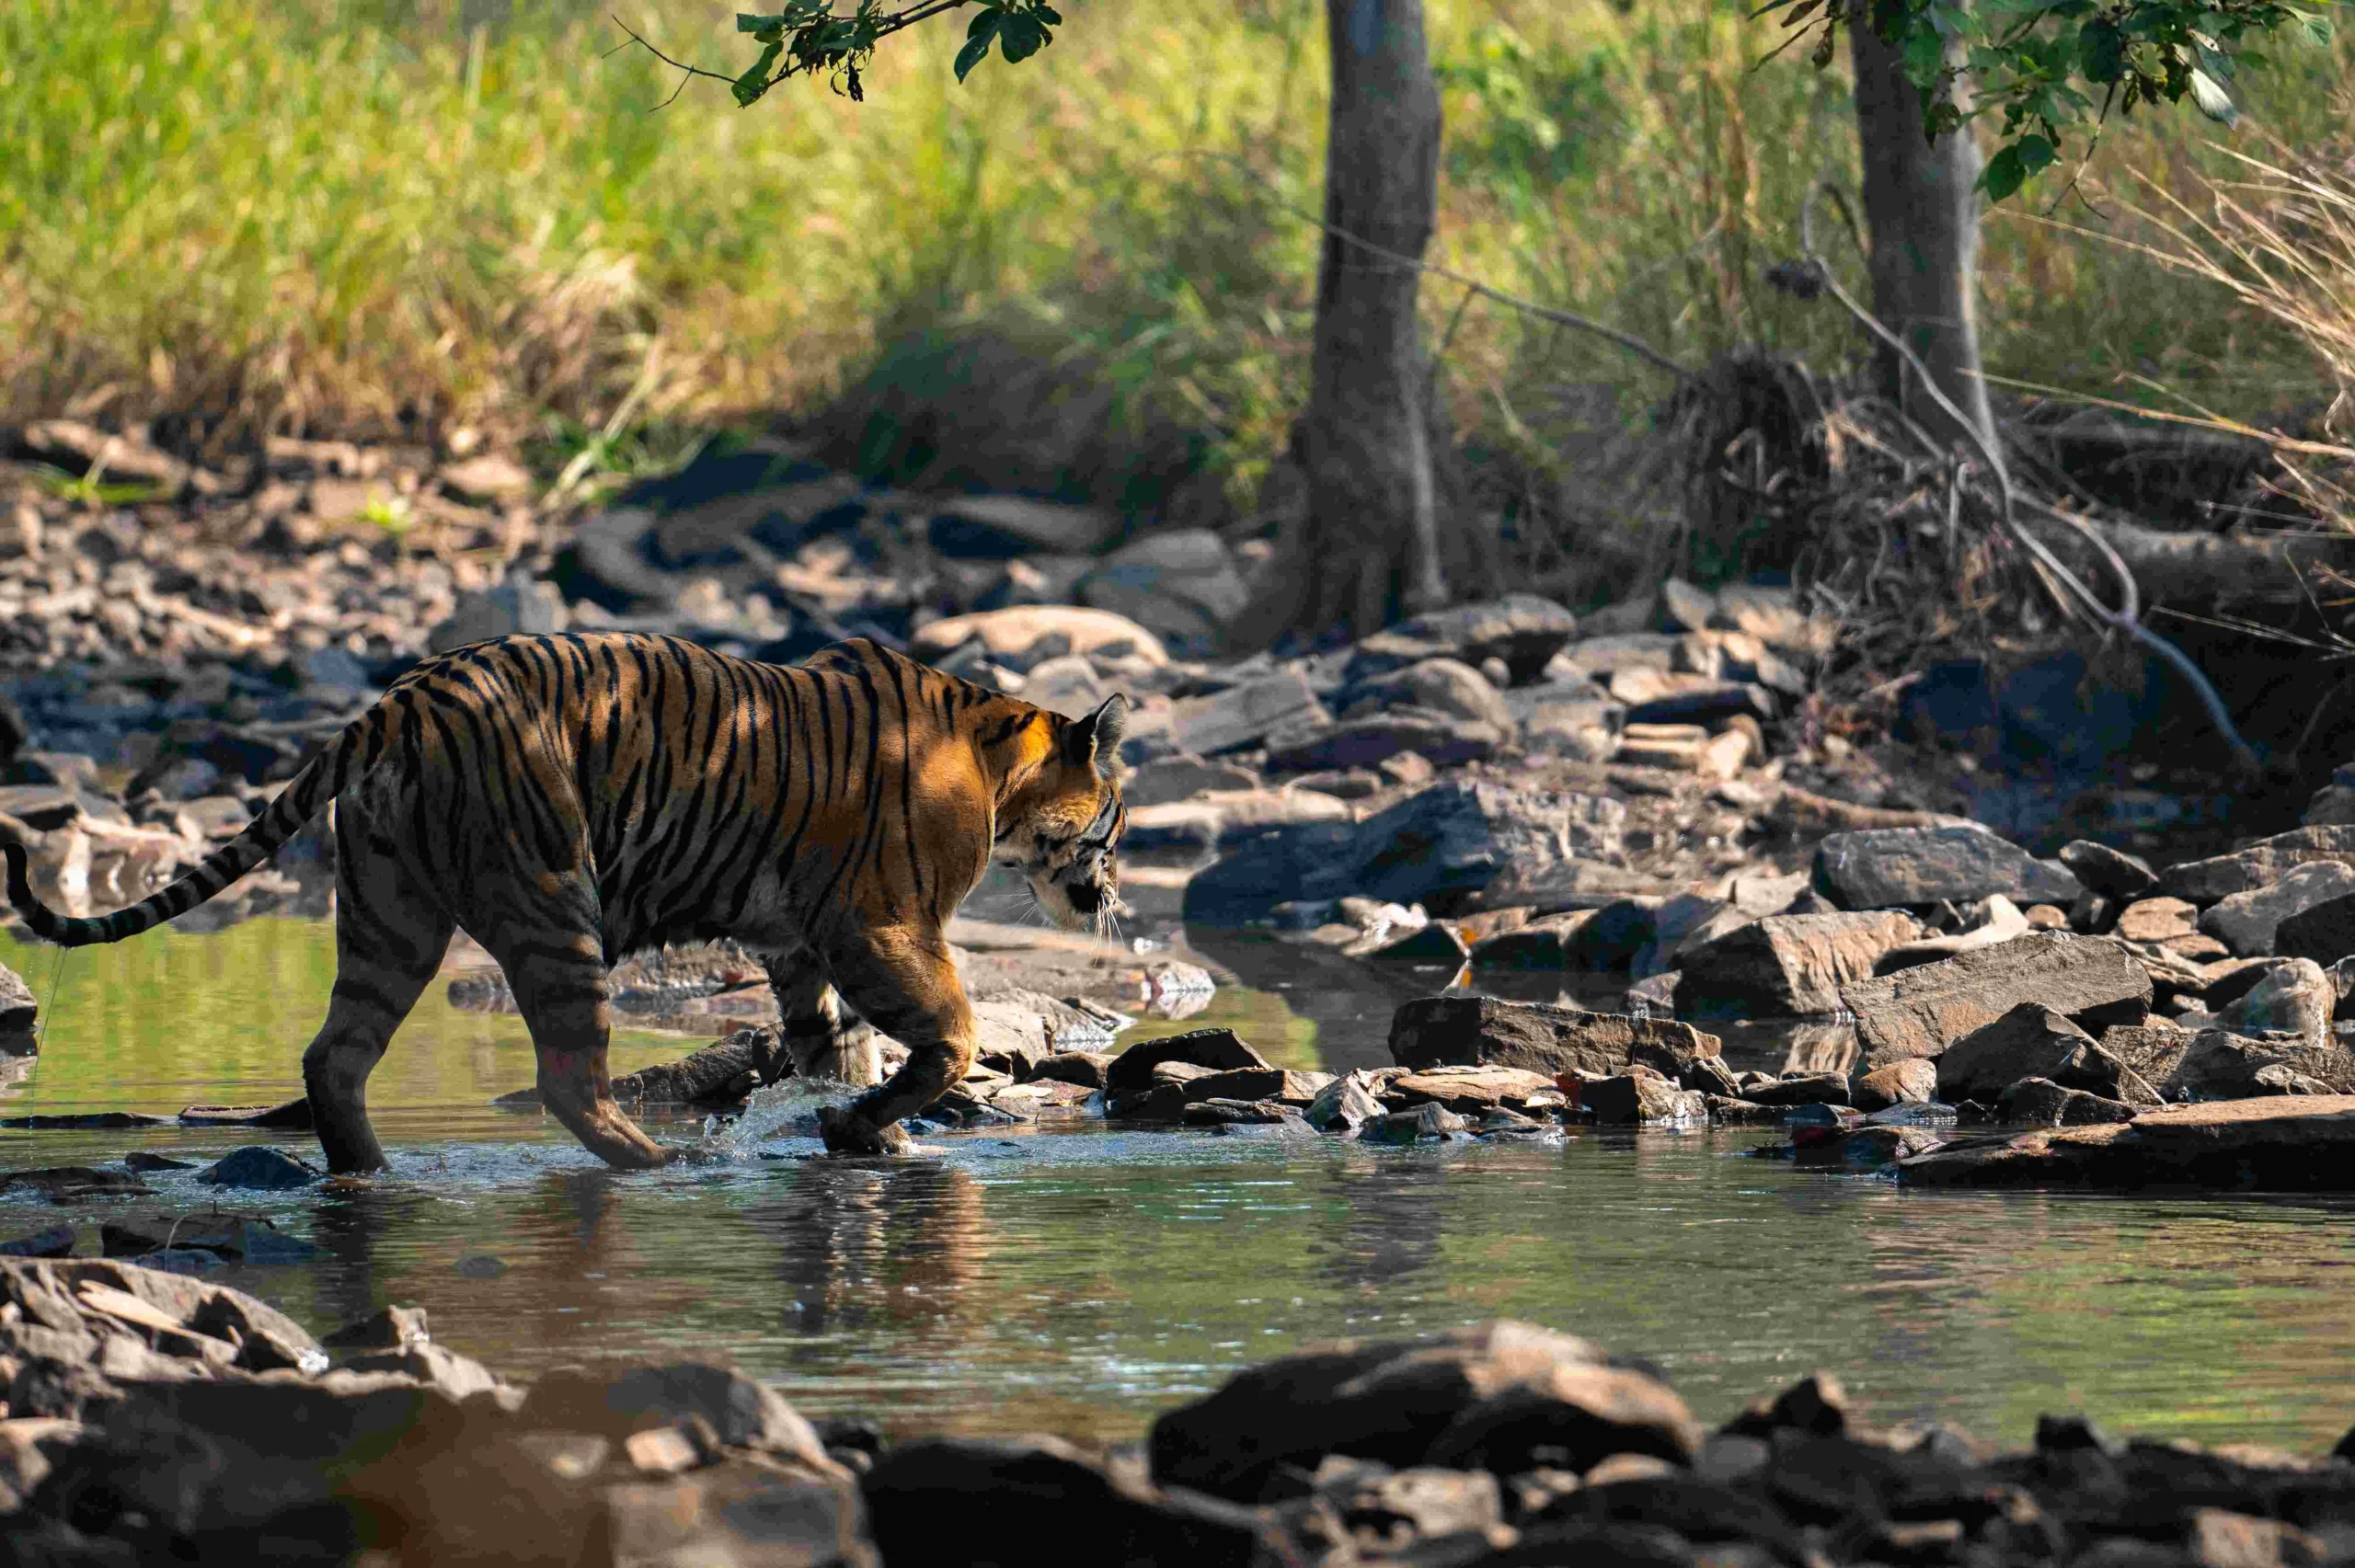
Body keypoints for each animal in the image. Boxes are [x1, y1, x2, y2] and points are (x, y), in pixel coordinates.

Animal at [0, 634, 1129, 1170]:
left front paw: (862, 1129)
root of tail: (395, 701)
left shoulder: (799, 942)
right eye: (1115, 816)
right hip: (553, 902)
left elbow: (835, 1044)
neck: (998, 762)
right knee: (566, 1080)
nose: (1111, 893)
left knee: (335, 1055)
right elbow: (950, 1030)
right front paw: (874, 1123)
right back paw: (663, 1164)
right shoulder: (883, 925)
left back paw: (370, 1172)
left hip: (389, 915)